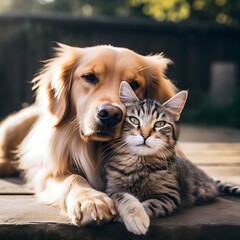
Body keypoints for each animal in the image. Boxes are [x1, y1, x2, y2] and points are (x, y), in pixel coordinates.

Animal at [0, 44, 176, 226]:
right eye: (89, 77)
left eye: (134, 84)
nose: (110, 114)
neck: (97, 149)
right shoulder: (47, 173)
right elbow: (72, 177)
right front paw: (91, 200)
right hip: (12, 127)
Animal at [104, 81, 240, 235]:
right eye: (134, 120)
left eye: (160, 124)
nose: (145, 135)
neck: (140, 164)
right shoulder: (110, 190)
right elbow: (123, 196)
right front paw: (132, 214)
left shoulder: (169, 196)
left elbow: (147, 205)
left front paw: (136, 218)